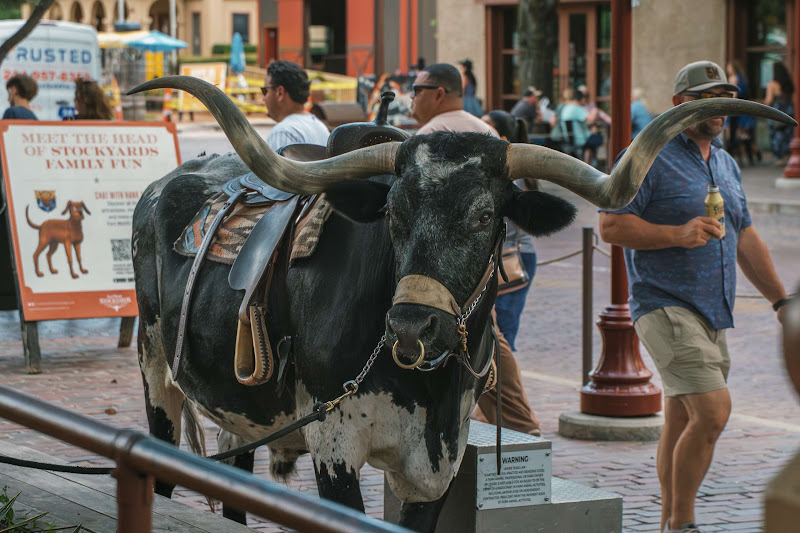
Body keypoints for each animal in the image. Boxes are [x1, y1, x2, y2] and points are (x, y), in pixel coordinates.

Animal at [130, 76, 792, 532]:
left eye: (483, 217)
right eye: (393, 215)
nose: (411, 325)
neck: (428, 384)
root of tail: (167, 182)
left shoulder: (438, 465)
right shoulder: (334, 445)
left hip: (240, 412)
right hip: (156, 377)